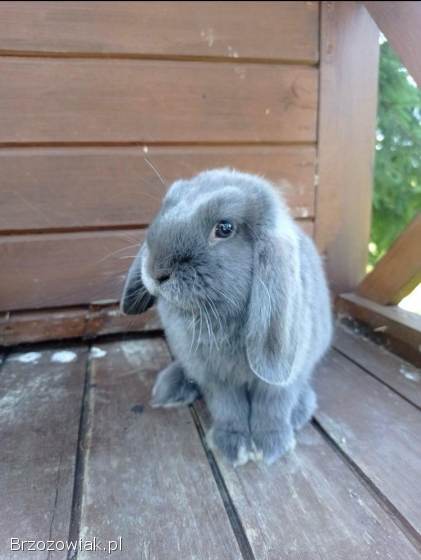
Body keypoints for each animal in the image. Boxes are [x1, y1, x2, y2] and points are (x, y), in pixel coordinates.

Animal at [121, 168, 332, 466]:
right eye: (165, 207)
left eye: (225, 228)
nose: (155, 271)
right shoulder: (215, 378)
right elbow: (228, 407)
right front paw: (232, 445)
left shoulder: (282, 379)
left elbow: (273, 405)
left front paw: (271, 446)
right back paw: (170, 389)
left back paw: (301, 410)